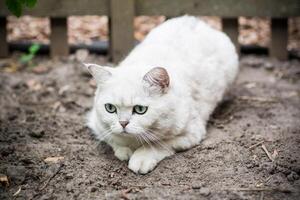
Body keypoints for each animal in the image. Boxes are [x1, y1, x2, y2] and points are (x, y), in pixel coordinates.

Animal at [85, 16, 239, 174]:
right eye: (110, 108)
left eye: (140, 110)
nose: (123, 123)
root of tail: (196, 21)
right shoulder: (96, 124)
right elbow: (114, 139)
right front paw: (124, 151)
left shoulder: (192, 132)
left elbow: (158, 143)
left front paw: (141, 158)